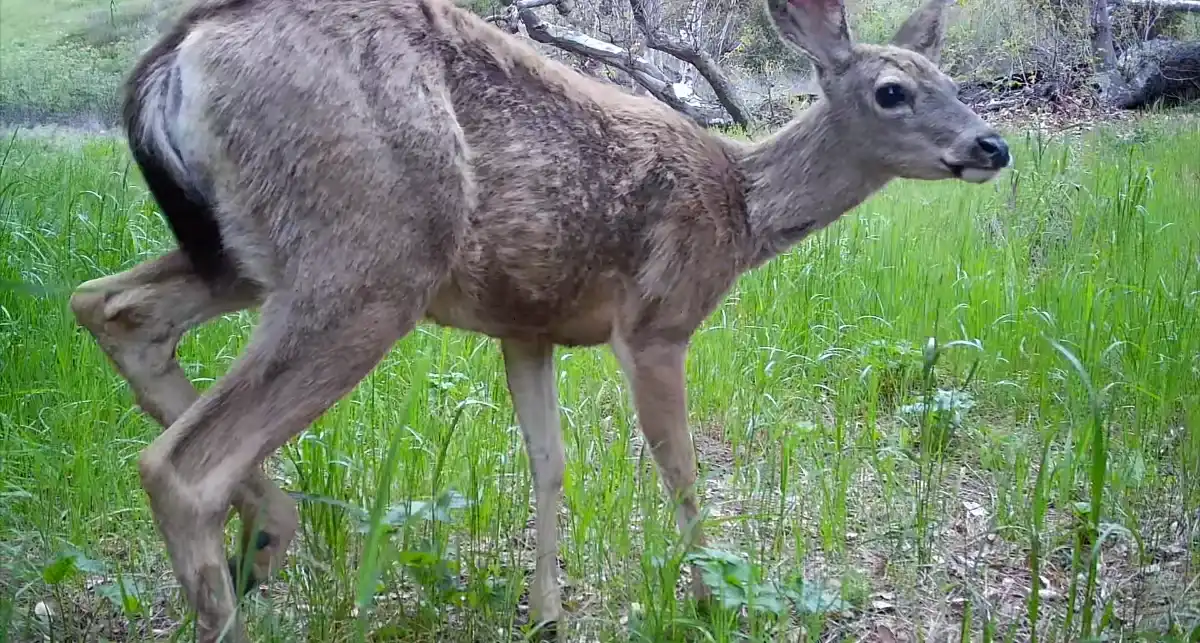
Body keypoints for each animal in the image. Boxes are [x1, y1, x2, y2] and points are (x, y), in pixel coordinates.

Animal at [68, 0, 1009, 639]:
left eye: (955, 83)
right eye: (892, 90)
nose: (992, 145)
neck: (741, 211)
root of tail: (180, 51)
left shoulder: (527, 327)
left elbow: (548, 465)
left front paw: (546, 612)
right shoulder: (659, 321)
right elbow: (680, 469)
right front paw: (711, 599)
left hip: (244, 249)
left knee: (111, 307)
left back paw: (266, 535)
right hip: (371, 256)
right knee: (181, 463)